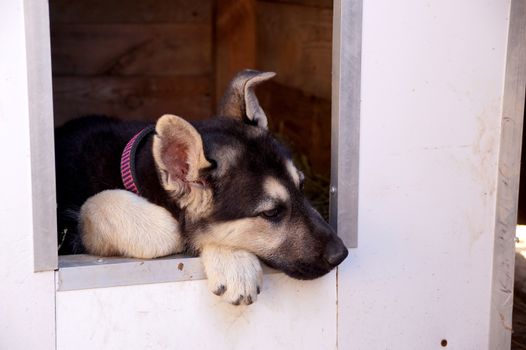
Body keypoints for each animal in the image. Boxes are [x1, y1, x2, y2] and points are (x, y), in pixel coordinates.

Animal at [55, 69, 348, 304]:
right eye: (271, 213)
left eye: (302, 186)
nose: (342, 254)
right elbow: (111, 208)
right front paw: (231, 261)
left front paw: (233, 261)